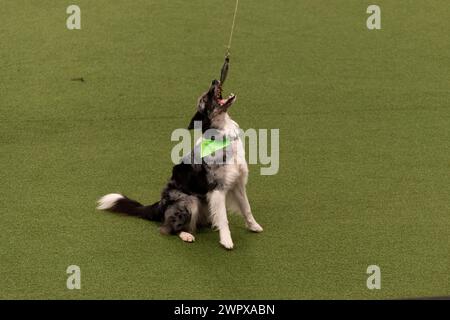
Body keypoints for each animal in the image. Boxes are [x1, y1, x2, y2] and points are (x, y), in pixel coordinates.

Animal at [96, 78, 262, 250]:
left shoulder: (238, 183)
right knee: (168, 227)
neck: (222, 134)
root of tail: (160, 205)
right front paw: (226, 240)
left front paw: (254, 226)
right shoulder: (217, 189)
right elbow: (223, 218)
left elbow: (246, 208)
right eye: (204, 99)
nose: (215, 80)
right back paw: (186, 234)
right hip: (189, 201)